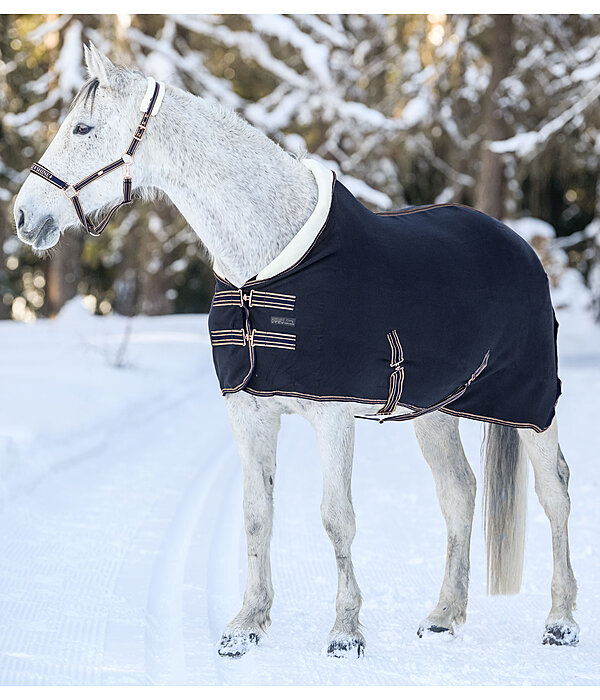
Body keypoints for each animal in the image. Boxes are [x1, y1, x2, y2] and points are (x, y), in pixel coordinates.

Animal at [11, 46, 580, 660]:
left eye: (83, 128)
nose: (24, 216)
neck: (266, 265)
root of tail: (520, 244)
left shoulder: (333, 417)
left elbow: (337, 519)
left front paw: (346, 632)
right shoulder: (249, 414)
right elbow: (257, 516)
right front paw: (246, 625)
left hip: (532, 406)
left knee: (555, 492)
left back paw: (561, 621)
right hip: (435, 411)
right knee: (459, 492)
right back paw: (443, 617)